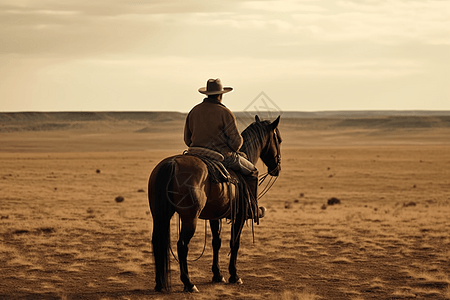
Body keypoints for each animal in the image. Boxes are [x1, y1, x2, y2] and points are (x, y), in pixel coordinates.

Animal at [148, 114, 282, 292]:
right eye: (278, 139)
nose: (277, 169)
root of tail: (172, 164)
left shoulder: (214, 216)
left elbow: (216, 242)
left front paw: (218, 275)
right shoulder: (239, 216)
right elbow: (234, 242)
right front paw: (234, 275)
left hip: (159, 215)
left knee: (157, 241)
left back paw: (159, 284)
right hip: (189, 218)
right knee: (182, 245)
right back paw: (189, 283)